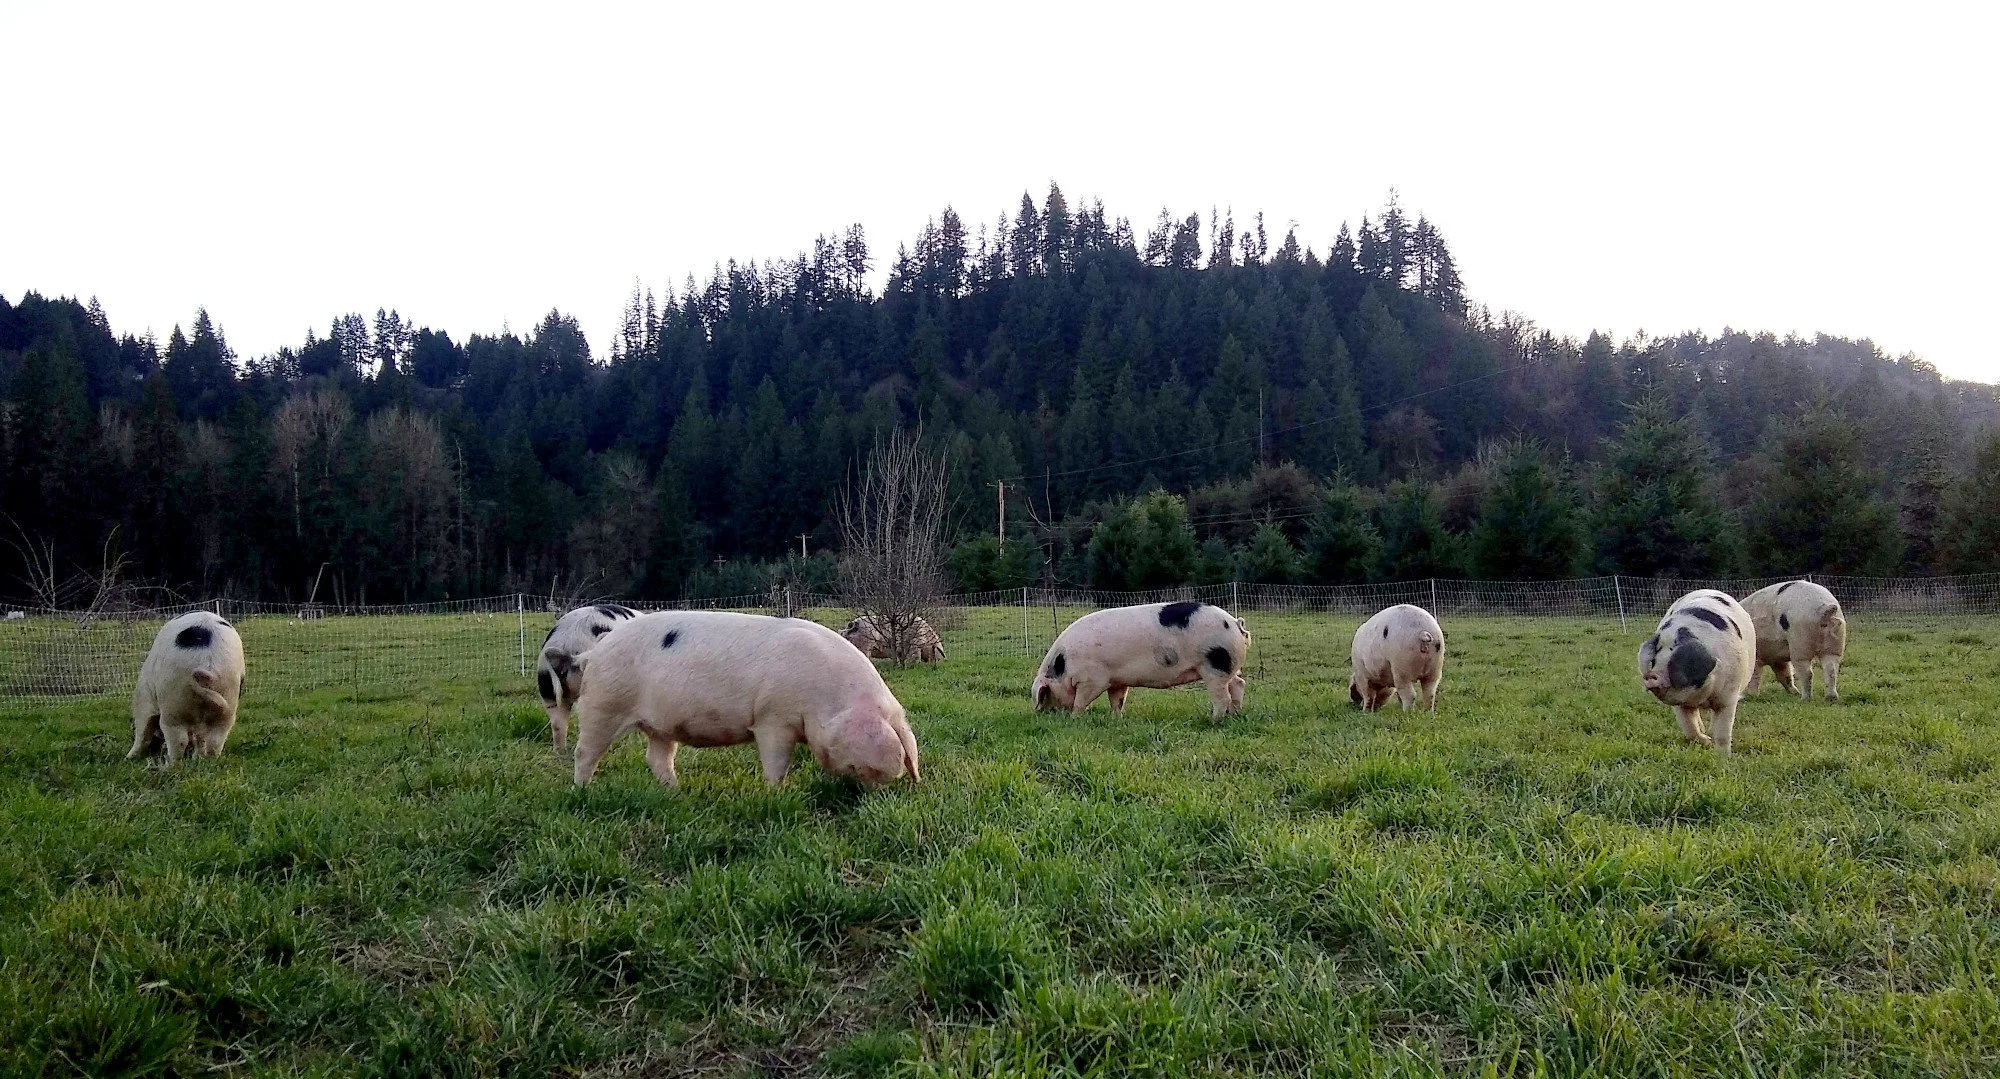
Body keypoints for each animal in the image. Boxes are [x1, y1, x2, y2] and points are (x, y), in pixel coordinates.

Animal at [129, 610, 246, 765]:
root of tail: (208, 663)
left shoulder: (144, 699)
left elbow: (143, 729)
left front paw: (130, 757)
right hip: (228, 701)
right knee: (215, 740)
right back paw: (206, 761)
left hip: (174, 702)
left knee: (178, 739)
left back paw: (168, 764)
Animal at [566, 610, 920, 789]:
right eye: (864, 768)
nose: (872, 796)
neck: (827, 699)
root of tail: (592, 654)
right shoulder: (773, 719)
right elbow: (776, 762)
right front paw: (777, 792)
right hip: (603, 705)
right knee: (585, 751)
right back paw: (583, 791)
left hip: (659, 725)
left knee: (657, 759)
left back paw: (676, 791)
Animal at [1032, 600, 1250, 719]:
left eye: (1045, 693)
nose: (1044, 714)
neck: (1064, 665)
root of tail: (1235, 623)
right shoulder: (1117, 680)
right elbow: (1117, 701)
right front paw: (1116, 719)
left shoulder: (1091, 680)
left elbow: (1080, 701)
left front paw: (1075, 718)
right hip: (1228, 667)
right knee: (1238, 684)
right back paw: (1235, 714)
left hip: (1214, 666)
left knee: (1222, 697)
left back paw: (1214, 719)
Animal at [1638, 588, 1755, 753]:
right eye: (1655, 659)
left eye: (1675, 661)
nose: (1651, 675)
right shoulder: (1680, 705)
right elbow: (1690, 729)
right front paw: (1707, 742)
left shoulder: (1729, 696)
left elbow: (1723, 732)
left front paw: (1723, 755)